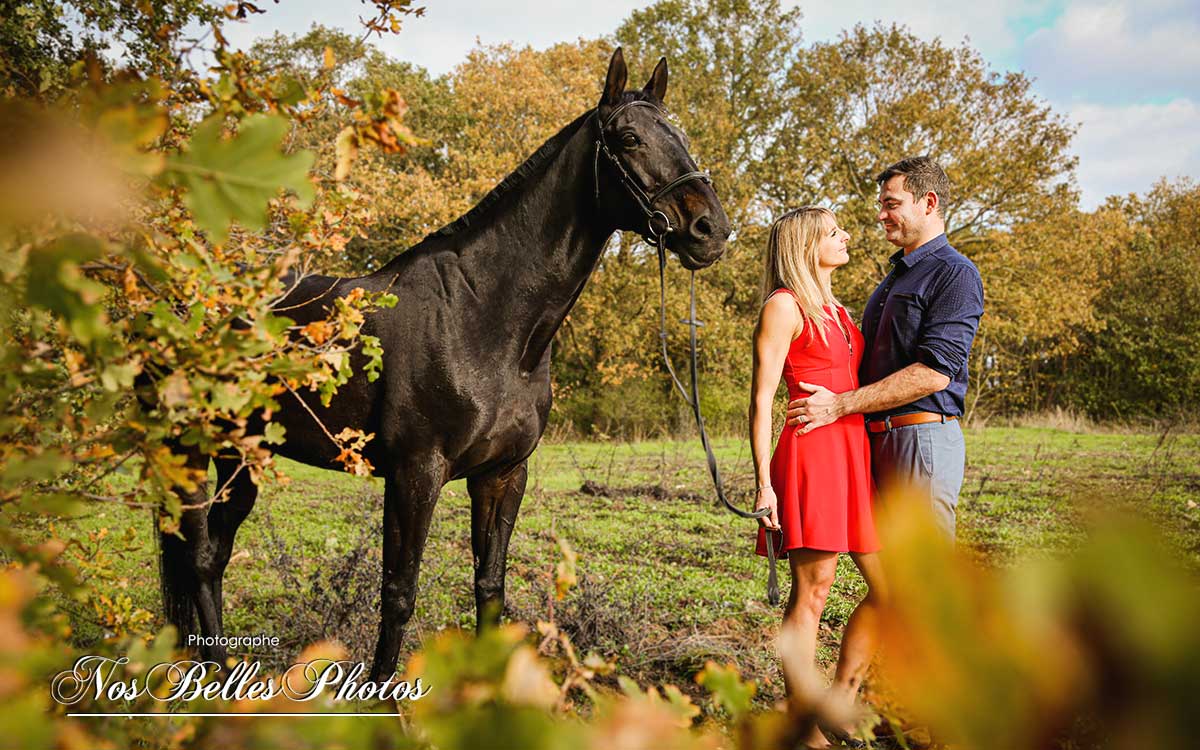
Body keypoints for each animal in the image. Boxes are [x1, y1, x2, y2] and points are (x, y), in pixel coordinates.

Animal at [159, 45, 729, 676]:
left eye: (679, 134)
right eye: (628, 138)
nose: (711, 229)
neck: (485, 320)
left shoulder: (503, 475)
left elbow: (489, 587)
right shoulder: (415, 474)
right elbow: (398, 594)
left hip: (243, 453)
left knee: (212, 558)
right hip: (188, 449)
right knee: (196, 556)